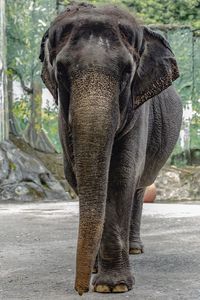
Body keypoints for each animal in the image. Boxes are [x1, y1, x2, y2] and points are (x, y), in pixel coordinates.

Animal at [39, 1, 183, 296]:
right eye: (61, 71)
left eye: (127, 72)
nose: (79, 290)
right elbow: (77, 175)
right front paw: (97, 272)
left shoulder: (139, 110)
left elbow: (120, 176)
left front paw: (113, 285)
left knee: (138, 187)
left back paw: (134, 249)